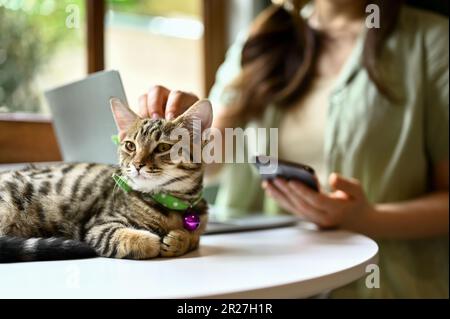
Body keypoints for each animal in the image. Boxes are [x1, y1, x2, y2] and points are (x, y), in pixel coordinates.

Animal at [0, 99, 213, 264]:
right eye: (130, 146)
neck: (172, 203)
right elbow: (127, 238)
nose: (137, 165)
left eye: (162, 147)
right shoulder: (99, 226)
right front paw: (153, 240)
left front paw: (182, 238)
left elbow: (196, 236)